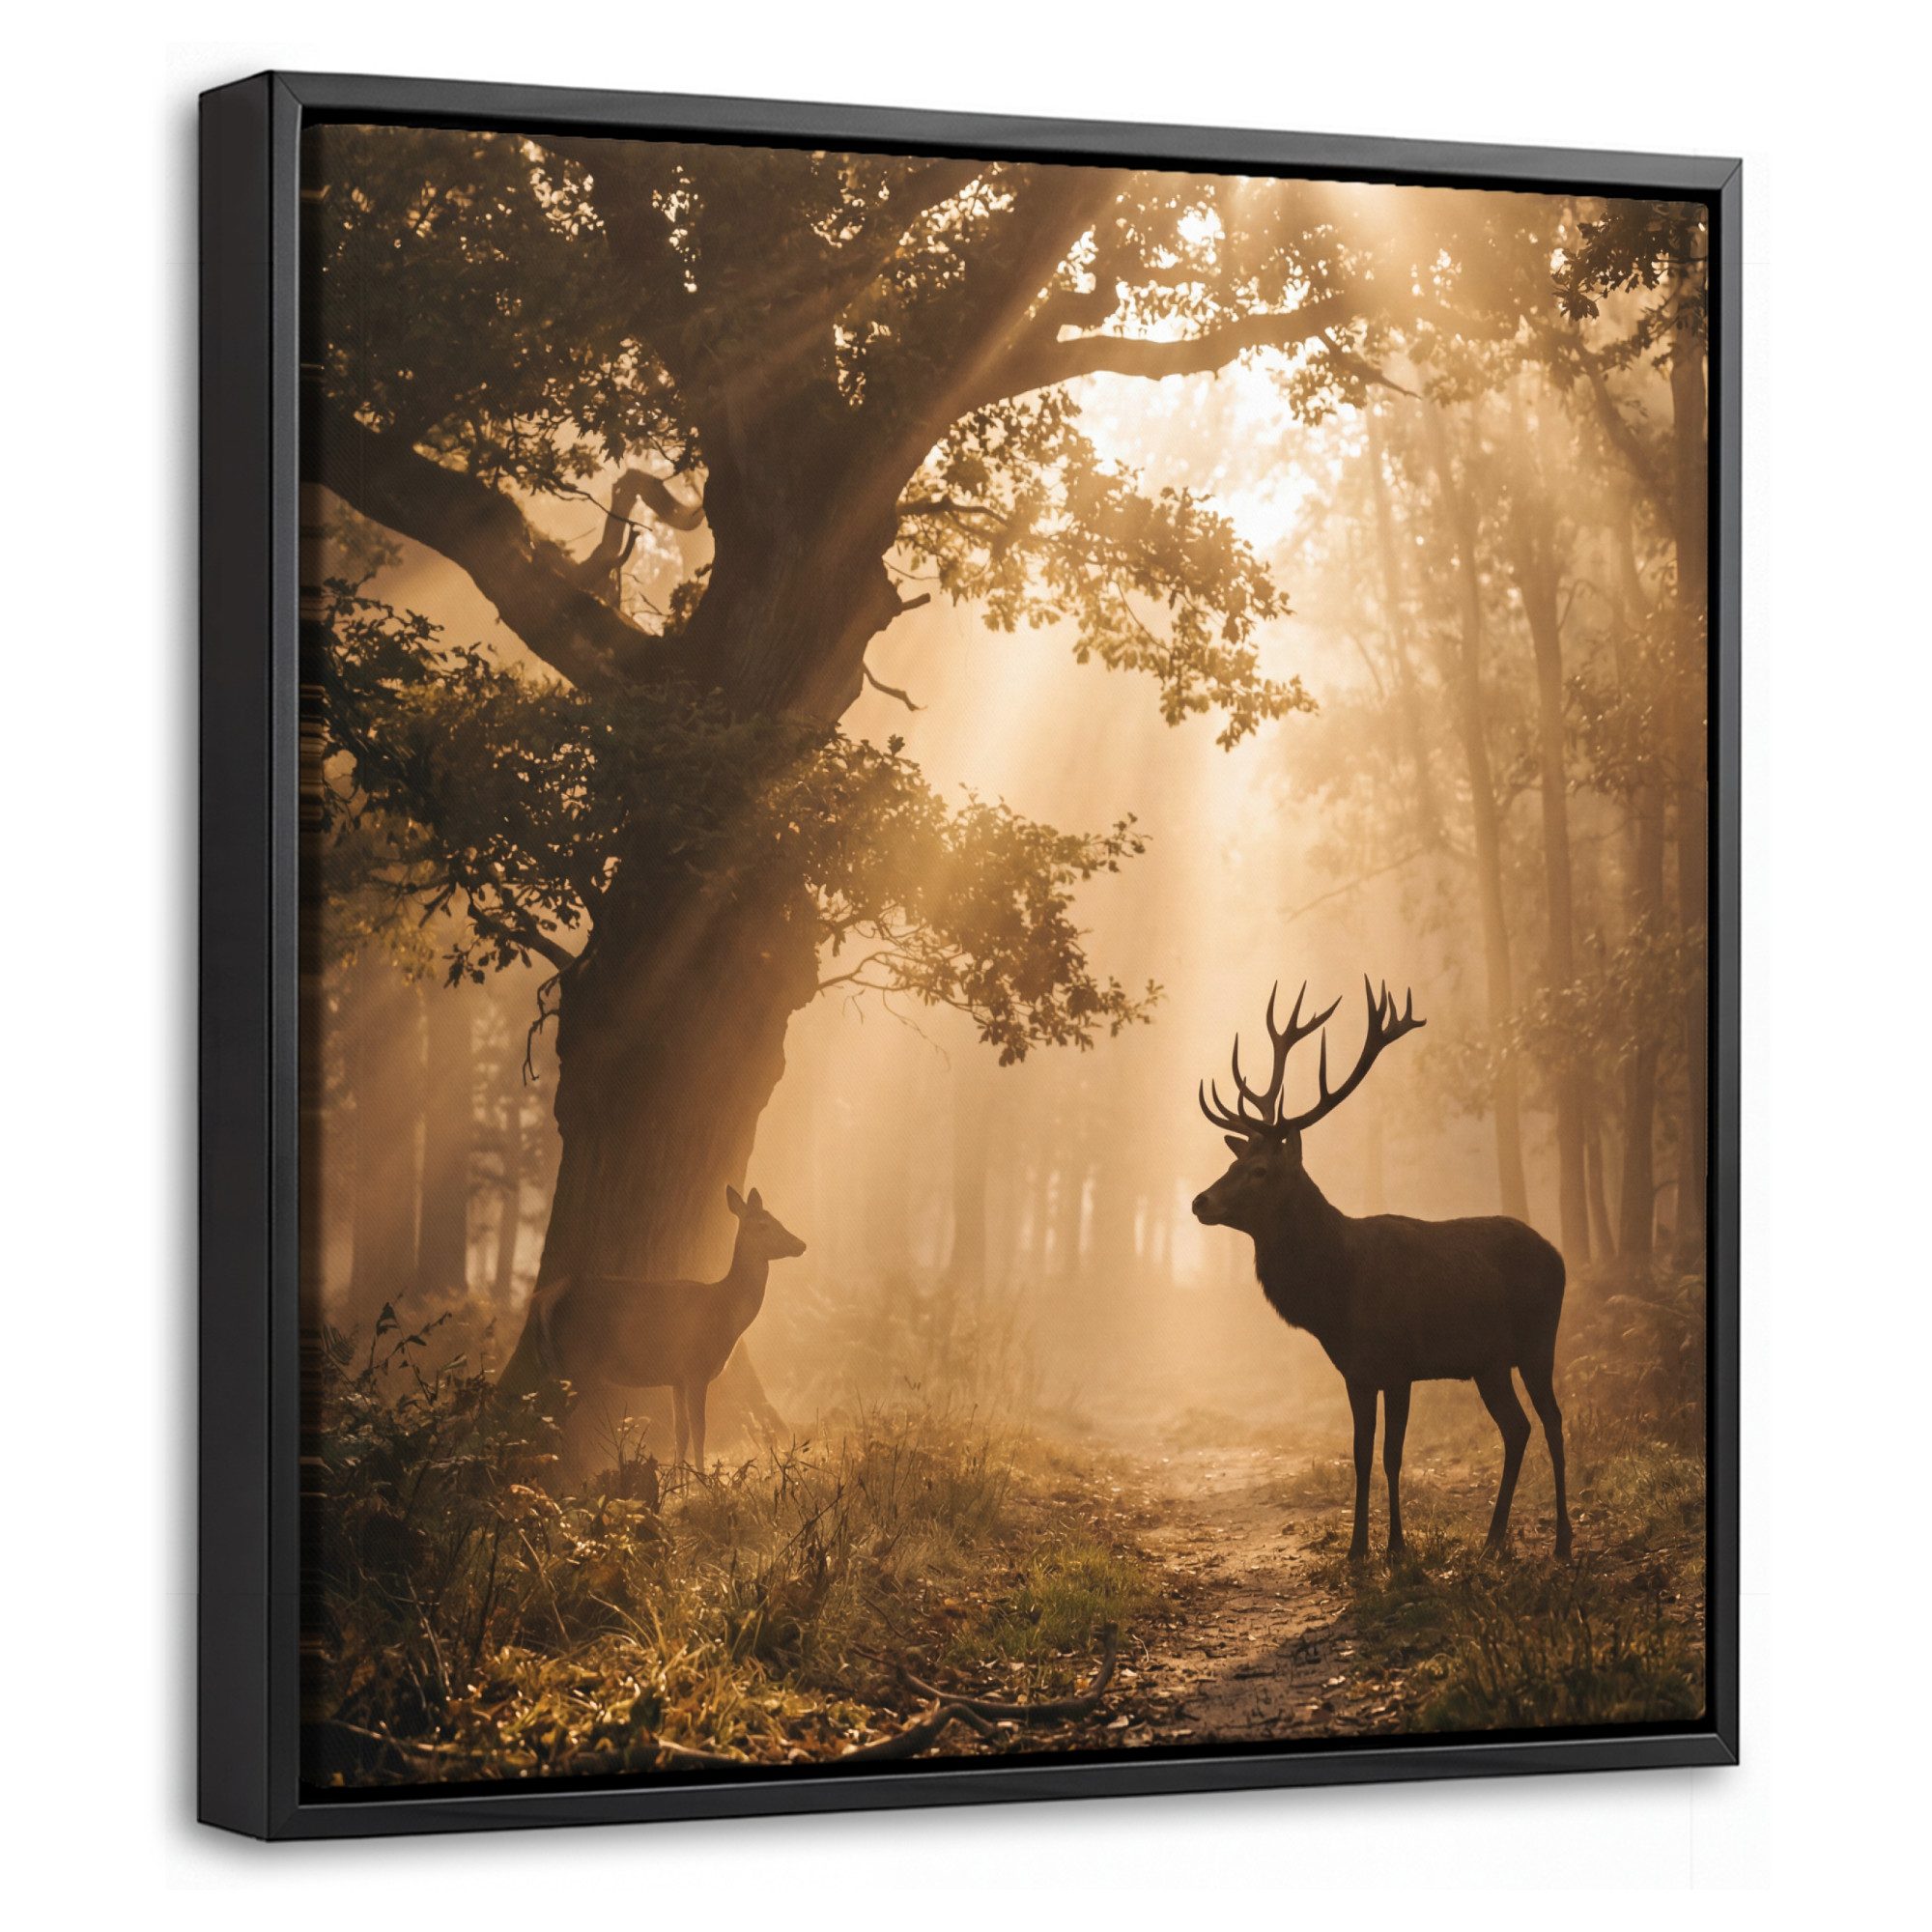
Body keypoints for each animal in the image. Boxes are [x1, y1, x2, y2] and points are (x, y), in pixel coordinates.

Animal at [528, 1185, 806, 1471]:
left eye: (777, 1220)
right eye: (763, 1225)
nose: (801, 1244)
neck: (726, 1311)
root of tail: (543, 1298)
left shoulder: (677, 1378)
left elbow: (680, 1432)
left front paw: (679, 1479)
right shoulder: (696, 1369)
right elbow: (700, 1430)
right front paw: (703, 1477)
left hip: (553, 1367)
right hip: (577, 1365)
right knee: (553, 1424)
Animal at [1192, 979, 1571, 1563]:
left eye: (1259, 1170)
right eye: (1232, 1162)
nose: (1199, 1201)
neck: (1337, 1298)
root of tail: (1559, 1256)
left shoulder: (1398, 1364)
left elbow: (1393, 1455)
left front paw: (1395, 1548)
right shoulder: (1356, 1372)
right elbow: (1361, 1454)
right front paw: (1356, 1550)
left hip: (1537, 1340)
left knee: (1552, 1422)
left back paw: (1562, 1542)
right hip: (1489, 1363)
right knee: (1517, 1427)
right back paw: (1491, 1541)